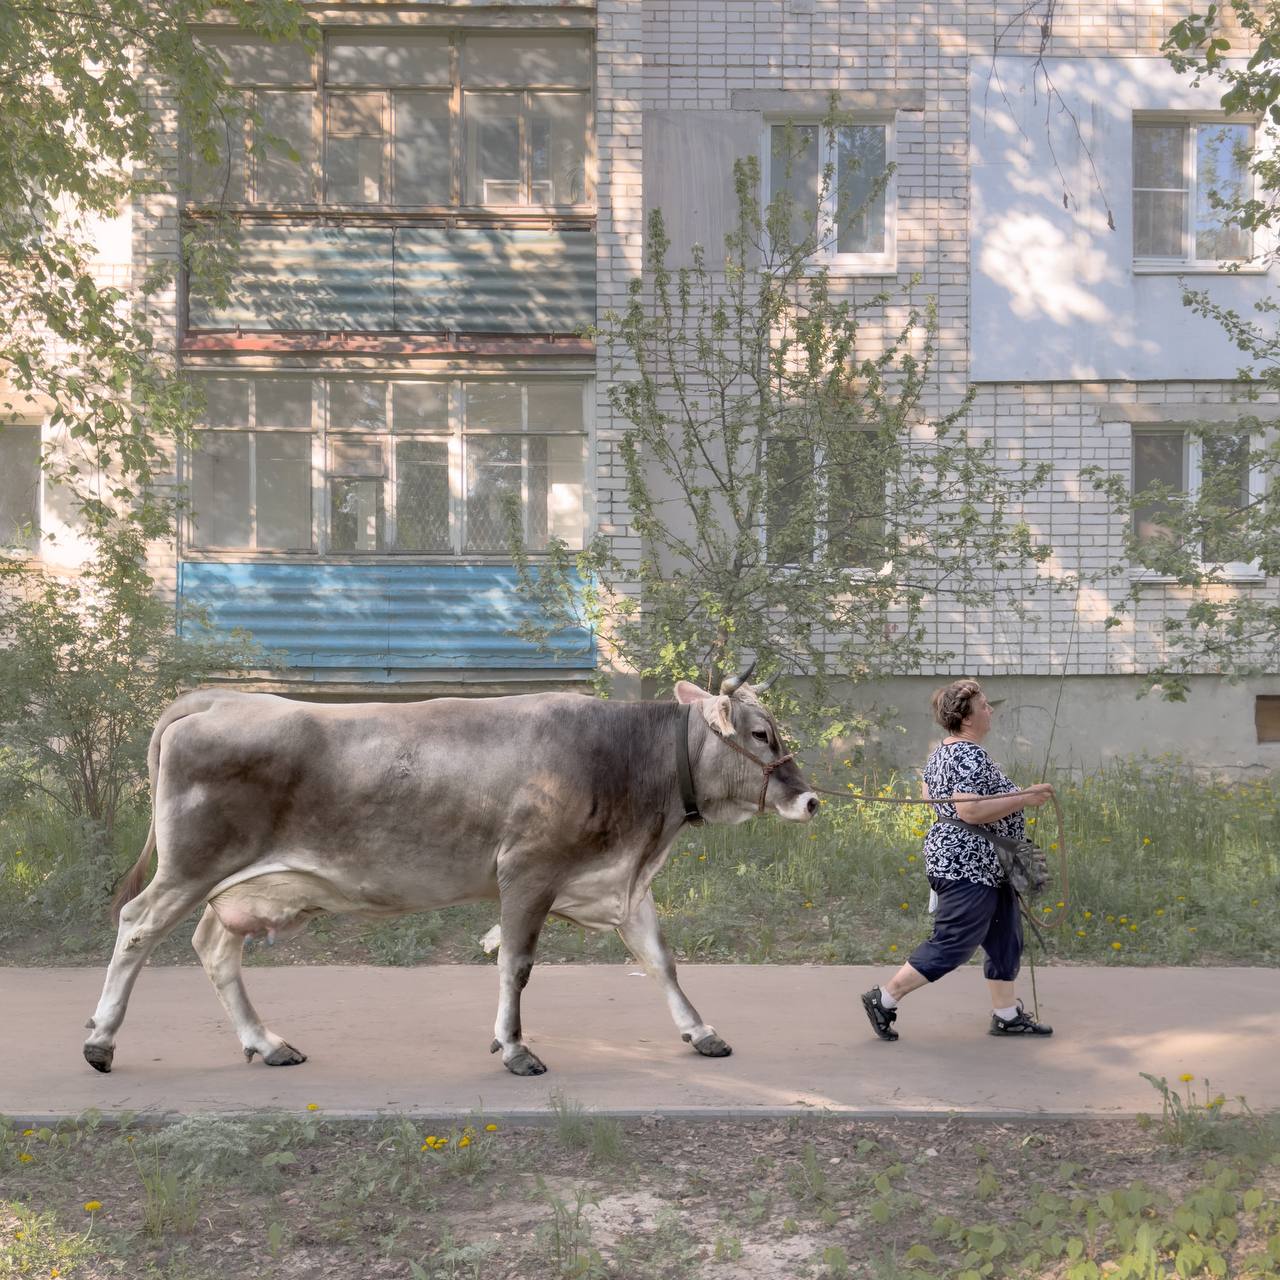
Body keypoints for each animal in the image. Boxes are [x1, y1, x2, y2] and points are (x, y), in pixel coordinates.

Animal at [82, 675, 819, 1075]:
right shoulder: (527, 871)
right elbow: (516, 964)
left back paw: (266, 1043)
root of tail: (216, 699)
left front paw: (702, 1033)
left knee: (213, 948)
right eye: (762, 734)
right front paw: (515, 1048)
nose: (810, 800)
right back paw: (100, 1041)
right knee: (137, 926)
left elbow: (661, 962)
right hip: (192, 865)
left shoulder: (621, 885)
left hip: (239, 886)